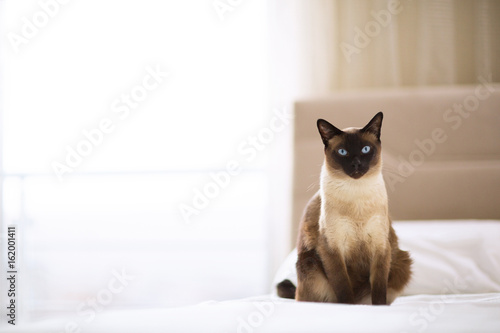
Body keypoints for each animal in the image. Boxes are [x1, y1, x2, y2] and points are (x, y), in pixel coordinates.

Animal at [278, 113, 410, 304]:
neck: (356, 195)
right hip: (310, 264)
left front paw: (378, 308)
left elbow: (379, 292)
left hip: (402, 263)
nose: (356, 164)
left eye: (365, 149)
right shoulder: (333, 249)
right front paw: (348, 307)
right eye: (343, 152)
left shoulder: (380, 247)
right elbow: (343, 289)